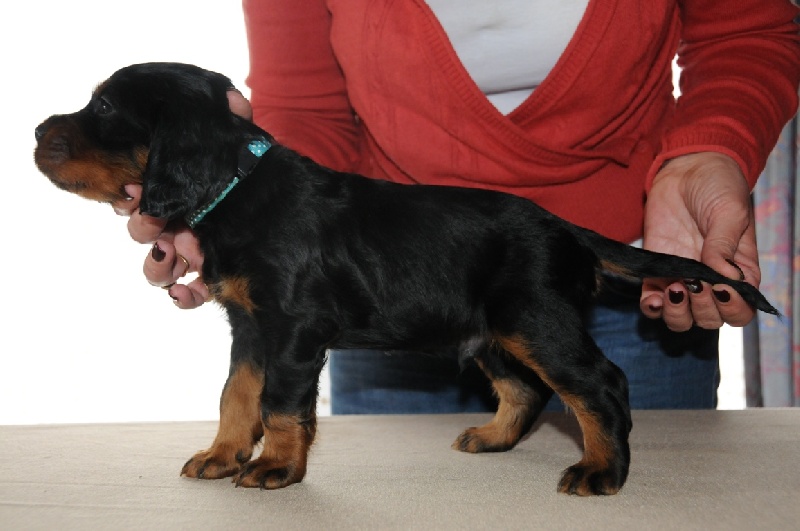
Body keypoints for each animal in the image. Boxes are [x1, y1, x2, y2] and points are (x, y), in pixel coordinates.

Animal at [34, 63, 778, 496]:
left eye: (104, 109)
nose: (37, 131)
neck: (236, 185)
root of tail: (565, 228)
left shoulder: (293, 328)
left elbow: (279, 403)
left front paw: (275, 467)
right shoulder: (249, 326)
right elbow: (236, 394)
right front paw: (222, 455)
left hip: (534, 318)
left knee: (601, 384)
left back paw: (602, 469)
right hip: (491, 332)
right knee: (527, 390)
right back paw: (493, 437)